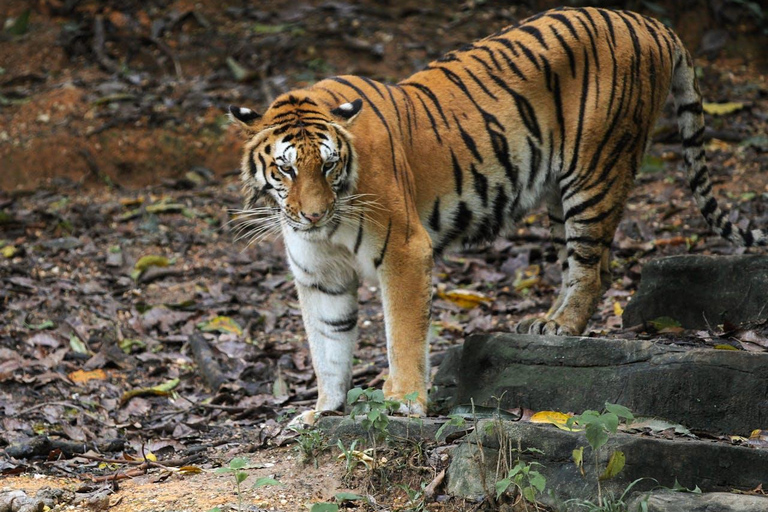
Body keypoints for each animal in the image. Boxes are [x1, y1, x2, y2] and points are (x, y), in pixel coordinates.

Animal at [228, 7, 768, 424]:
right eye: (286, 168)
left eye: (328, 164)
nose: (313, 215)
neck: (329, 227)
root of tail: (652, 22)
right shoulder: (319, 275)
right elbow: (328, 346)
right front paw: (324, 410)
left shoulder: (404, 250)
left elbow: (402, 333)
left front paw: (404, 401)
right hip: (561, 197)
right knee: (588, 265)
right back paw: (544, 324)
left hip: (596, 169)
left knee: (593, 268)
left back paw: (562, 327)